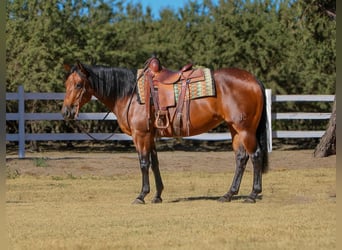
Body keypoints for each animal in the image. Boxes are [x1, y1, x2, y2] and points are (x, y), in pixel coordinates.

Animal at [62, 59, 270, 204]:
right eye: (66, 85)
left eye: (78, 84)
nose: (66, 111)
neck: (130, 94)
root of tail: (253, 80)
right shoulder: (151, 136)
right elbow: (155, 163)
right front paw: (157, 195)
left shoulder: (141, 135)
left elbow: (143, 163)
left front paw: (141, 195)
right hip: (235, 129)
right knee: (241, 158)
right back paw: (228, 194)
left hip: (245, 130)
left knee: (255, 155)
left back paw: (252, 194)